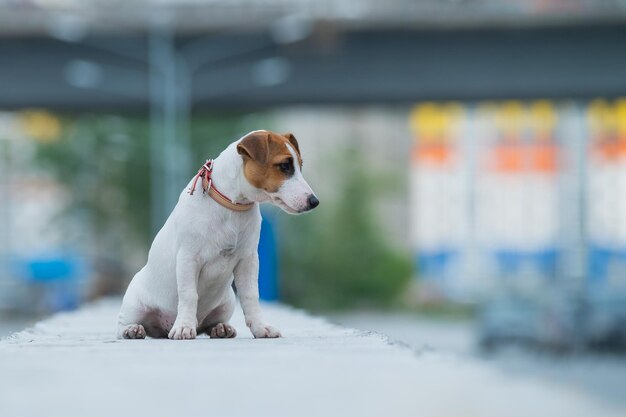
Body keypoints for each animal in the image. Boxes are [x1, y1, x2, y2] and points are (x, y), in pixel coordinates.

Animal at [118, 130, 316, 338]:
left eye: (300, 166)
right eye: (285, 166)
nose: (314, 201)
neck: (233, 206)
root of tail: (163, 327)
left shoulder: (248, 260)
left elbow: (250, 295)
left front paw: (261, 327)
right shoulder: (188, 258)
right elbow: (189, 294)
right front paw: (183, 326)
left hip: (226, 302)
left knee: (208, 324)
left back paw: (220, 328)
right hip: (134, 306)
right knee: (124, 324)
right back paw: (133, 330)